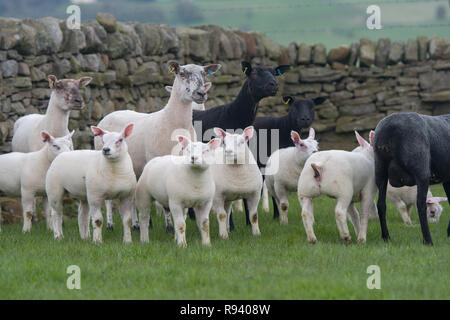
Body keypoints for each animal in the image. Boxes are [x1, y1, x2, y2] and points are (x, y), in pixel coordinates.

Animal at [372, 112, 450, 245]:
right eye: (433, 212)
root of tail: (390, 127)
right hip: (421, 168)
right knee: (421, 204)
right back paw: (428, 241)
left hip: (380, 169)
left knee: (381, 205)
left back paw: (386, 237)